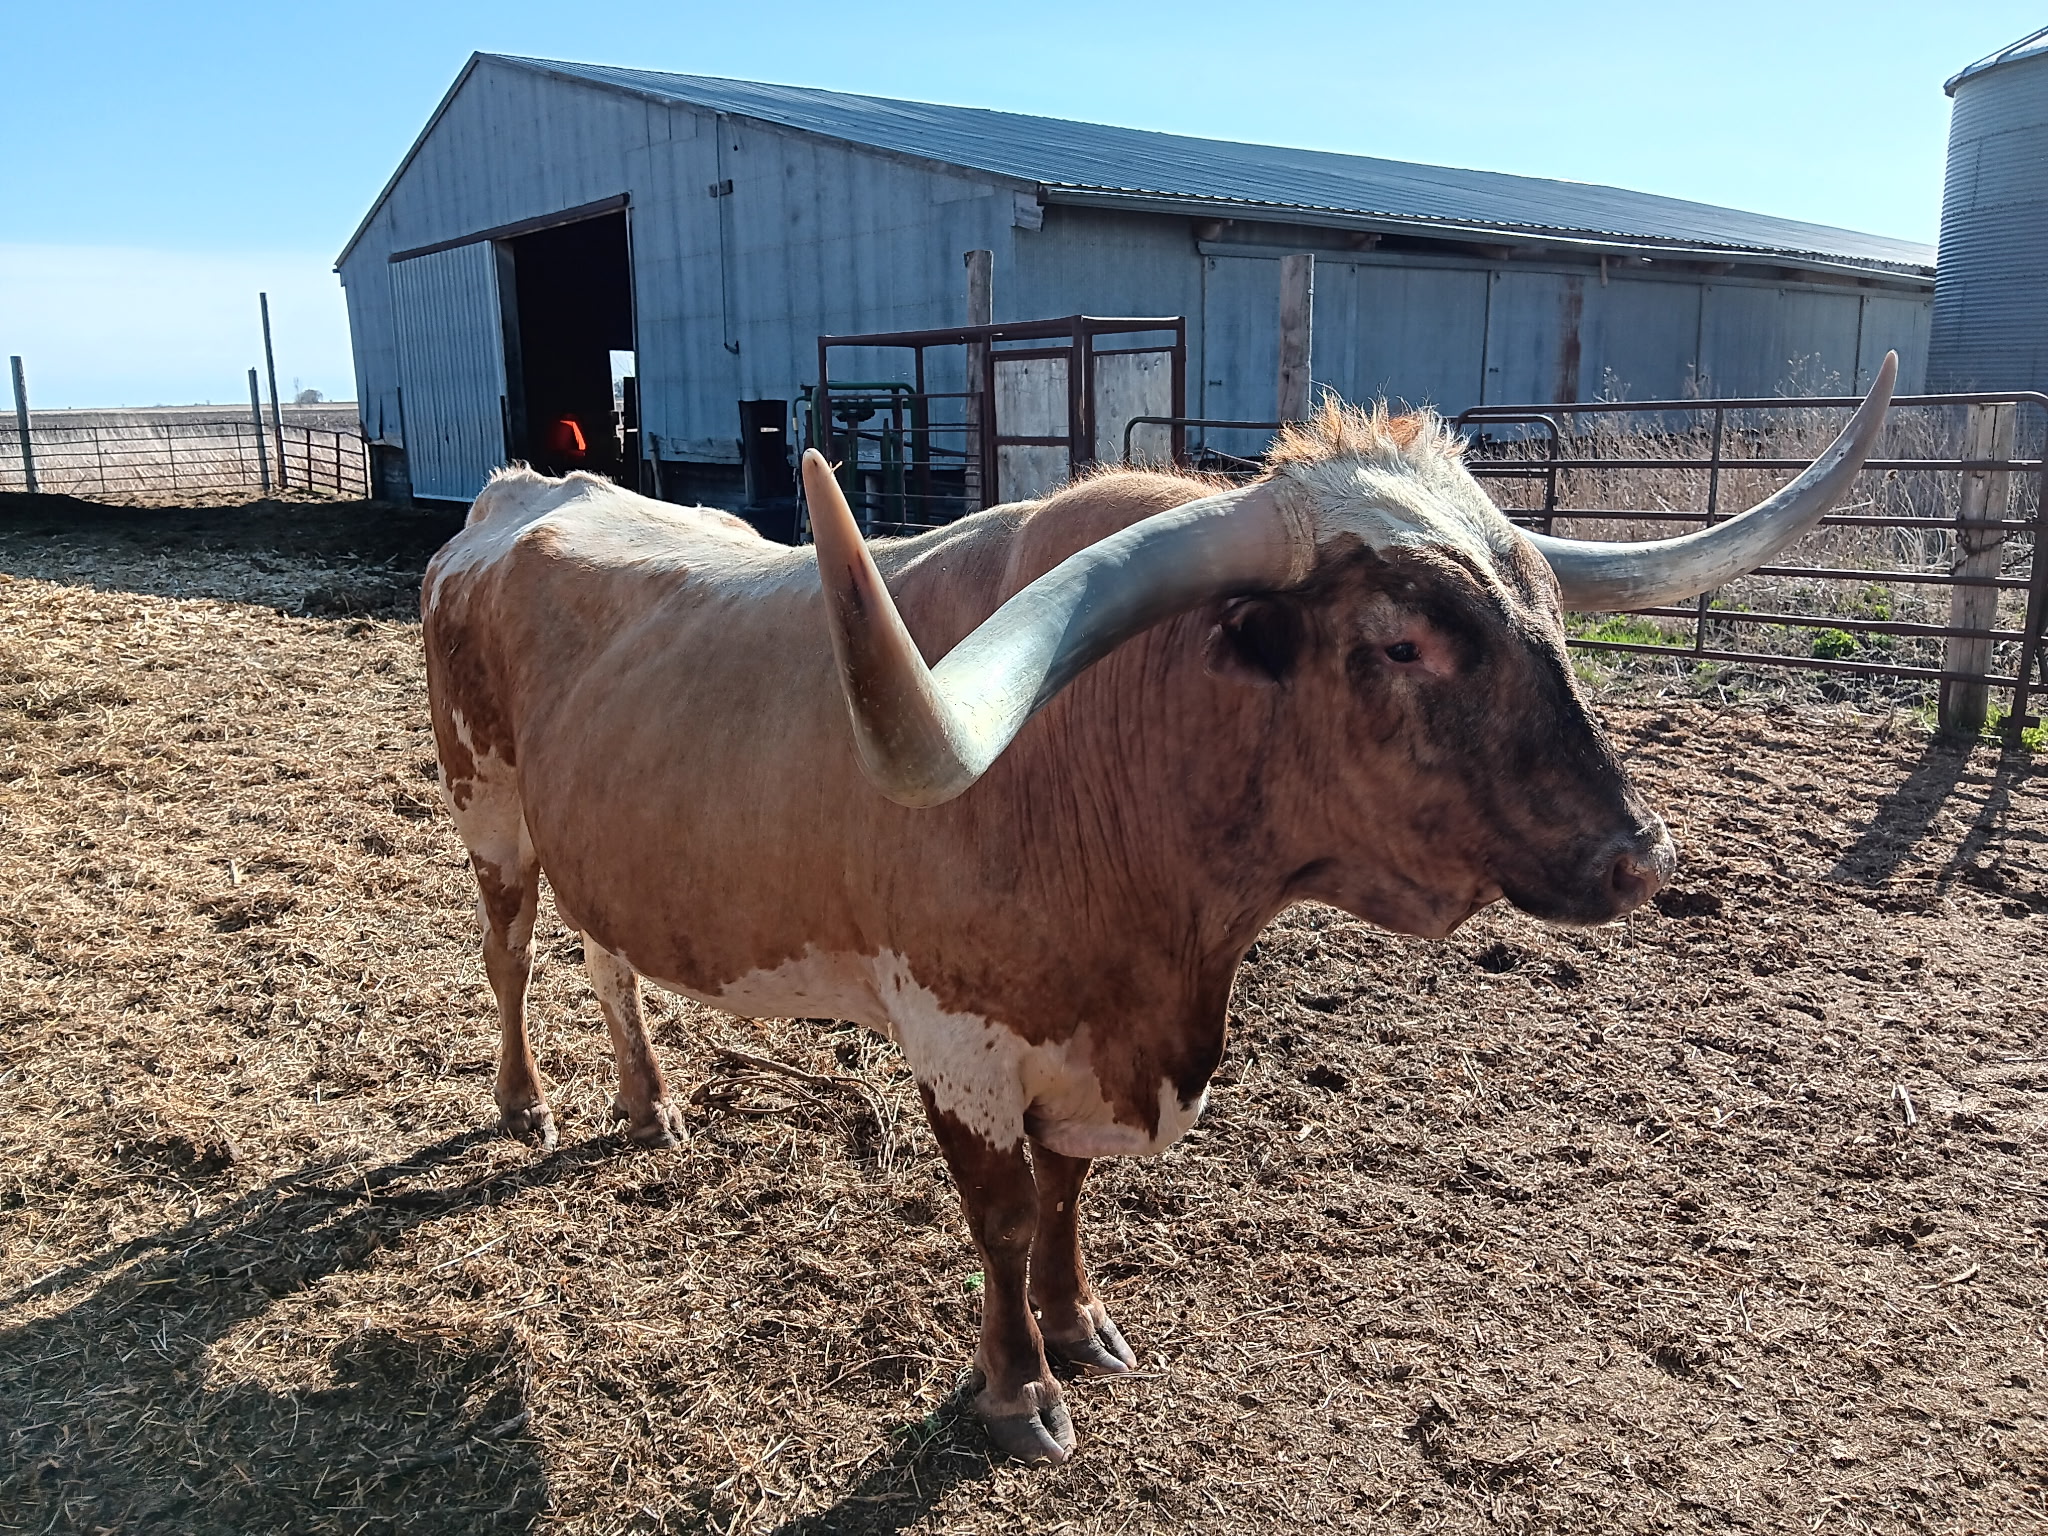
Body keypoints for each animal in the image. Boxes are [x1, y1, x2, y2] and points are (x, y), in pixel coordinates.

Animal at [421, 354, 1894, 1464]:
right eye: (1400, 641)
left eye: (1548, 615)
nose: (1639, 853)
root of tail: (524, 491)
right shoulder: (958, 1038)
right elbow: (1002, 1215)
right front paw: (1019, 1390)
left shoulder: (1089, 1045)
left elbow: (1067, 1195)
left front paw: (1081, 1326)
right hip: (489, 813)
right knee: (508, 956)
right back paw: (526, 1101)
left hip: (604, 837)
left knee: (608, 959)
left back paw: (646, 1100)